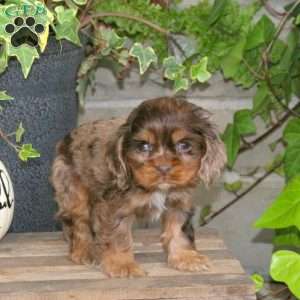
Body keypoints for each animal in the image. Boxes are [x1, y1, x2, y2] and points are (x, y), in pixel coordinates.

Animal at [50, 97, 226, 278]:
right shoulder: (115, 208)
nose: (163, 168)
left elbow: (179, 230)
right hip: (74, 191)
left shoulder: (179, 203)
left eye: (184, 145)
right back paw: (83, 251)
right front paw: (123, 265)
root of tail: (65, 140)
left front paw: (186, 258)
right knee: (78, 222)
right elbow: (118, 236)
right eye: (144, 146)